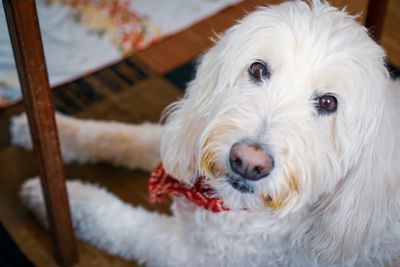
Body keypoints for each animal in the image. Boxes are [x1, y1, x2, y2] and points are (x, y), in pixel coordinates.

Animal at [8, 1, 400, 266]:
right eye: (258, 69)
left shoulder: (194, 256)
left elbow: (121, 223)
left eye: (329, 103)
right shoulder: (190, 137)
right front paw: (48, 132)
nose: (248, 161)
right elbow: (119, 136)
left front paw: (60, 198)